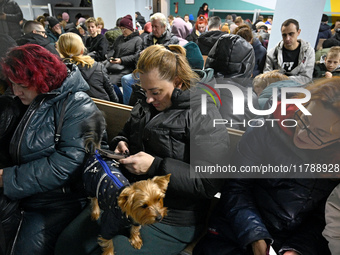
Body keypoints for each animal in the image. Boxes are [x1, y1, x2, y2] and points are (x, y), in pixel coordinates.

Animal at [81, 112, 171, 255]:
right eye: (144, 206)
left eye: (159, 199)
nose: (159, 217)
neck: (127, 215)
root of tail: (97, 153)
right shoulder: (108, 224)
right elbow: (108, 243)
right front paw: (109, 252)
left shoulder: (137, 220)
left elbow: (134, 229)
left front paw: (135, 240)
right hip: (89, 184)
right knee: (93, 199)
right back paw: (95, 213)